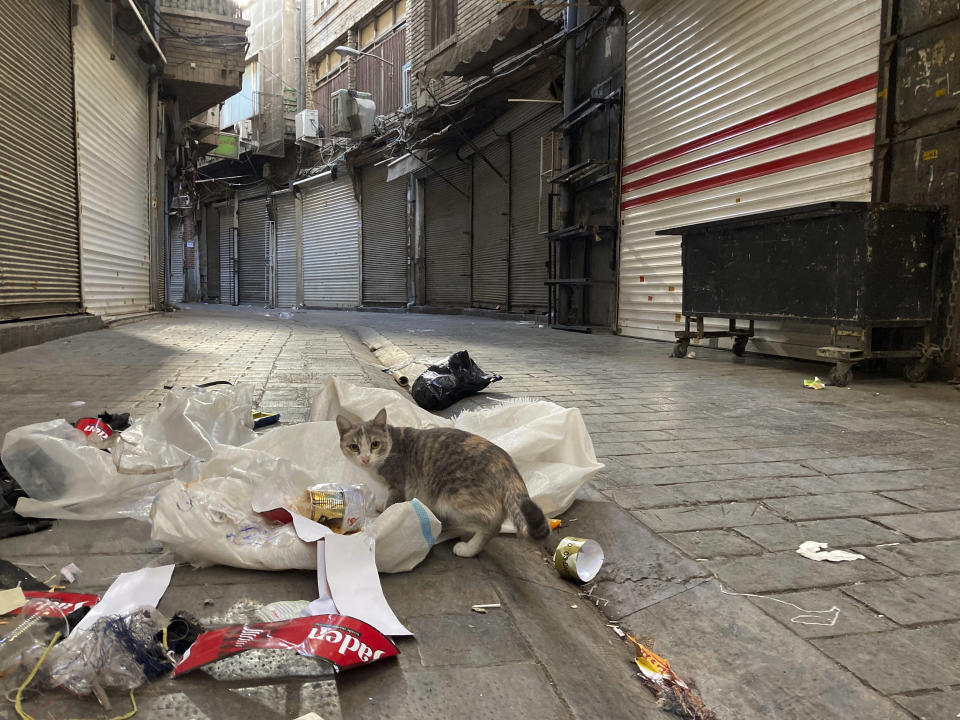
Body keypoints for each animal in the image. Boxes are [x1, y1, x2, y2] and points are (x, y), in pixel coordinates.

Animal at [336, 404, 548, 556]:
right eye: (354, 447)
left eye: (375, 444)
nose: (365, 458)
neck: (391, 447)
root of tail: (506, 464)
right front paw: (381, 505)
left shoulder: (398, 484)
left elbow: (392, 503)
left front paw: (383, 518)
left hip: (452, 499)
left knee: (491, 524)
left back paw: (468, 548)